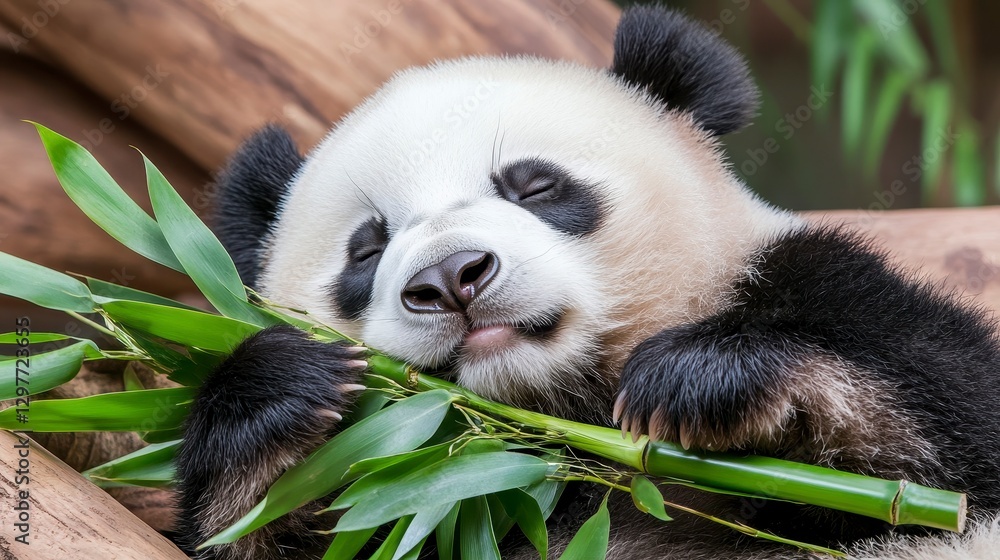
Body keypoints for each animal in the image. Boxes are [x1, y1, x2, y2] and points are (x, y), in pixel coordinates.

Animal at [175, 5, 1000, 560]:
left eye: (535, 185)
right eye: (366, 251)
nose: (449, 276)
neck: (569, 426)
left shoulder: (818, 282)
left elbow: (956, 446)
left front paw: (705, 380)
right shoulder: (429, 494)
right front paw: (277, 395)